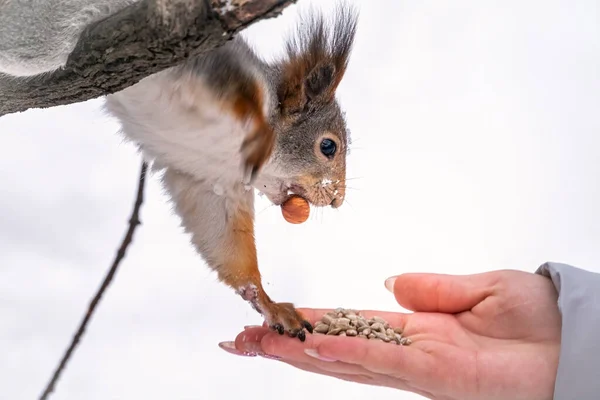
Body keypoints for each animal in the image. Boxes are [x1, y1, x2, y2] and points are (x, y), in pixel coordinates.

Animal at [0, 1, 356, 342]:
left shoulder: (211, 184)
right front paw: (261, 141)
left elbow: (227, 247)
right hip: (44, 32)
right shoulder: (216, 69)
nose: (337, 199)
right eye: (328, 146)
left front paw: (270, 306)